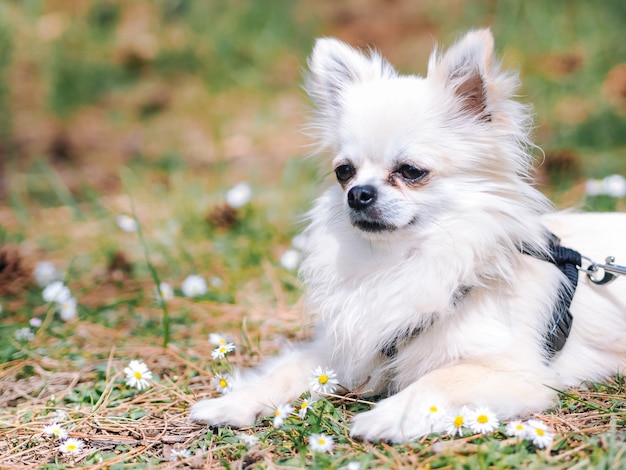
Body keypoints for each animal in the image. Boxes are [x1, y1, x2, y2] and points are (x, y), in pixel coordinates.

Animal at [191, 31, 624, 442]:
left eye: (411, 171)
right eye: (343, 172)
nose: (358, 193)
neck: (397, 261)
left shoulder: (516, 373)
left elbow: (438, 379)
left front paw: (388, 416)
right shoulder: (347, 345)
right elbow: (287, 371)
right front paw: (233, 402)